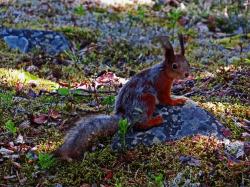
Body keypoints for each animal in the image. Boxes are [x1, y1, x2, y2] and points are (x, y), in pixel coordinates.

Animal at [55, 34, 189, 161]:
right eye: (174, 66)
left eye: (187, 62)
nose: (187, 74)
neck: (163, 72)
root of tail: (125, 117)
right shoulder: (160, 84)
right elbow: (165, 99)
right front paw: (177, 101)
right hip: (146, 100)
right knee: (140, 124)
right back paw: (155, 120)